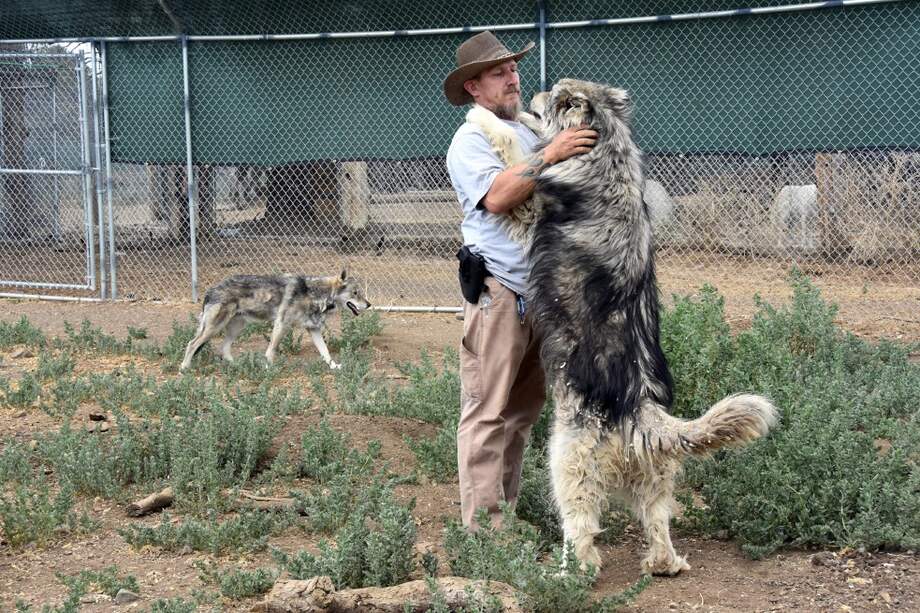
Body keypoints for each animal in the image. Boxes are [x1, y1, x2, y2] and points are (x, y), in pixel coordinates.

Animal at [179, 271, 371, 371]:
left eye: (360, 293)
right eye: (355, 293)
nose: (369, 304)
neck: (317, 294)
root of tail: (210, 290)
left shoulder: (313, 329)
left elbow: (326, 352)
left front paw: (334, 367)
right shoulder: (282, 324)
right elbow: (271, 351)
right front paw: (269, 369)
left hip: (236, 328)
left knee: (224, 349)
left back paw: (239, 366)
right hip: (215, 328)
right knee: (191, 344)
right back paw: (184, 368)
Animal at [528, 79, 779, 576]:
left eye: (555, 95)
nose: (533, 91)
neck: (608, 149)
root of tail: (644, 411)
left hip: (566, 463)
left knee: (582, 530)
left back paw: (567, 573)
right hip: (655, 481)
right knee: (659, 526)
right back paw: (663, 564)